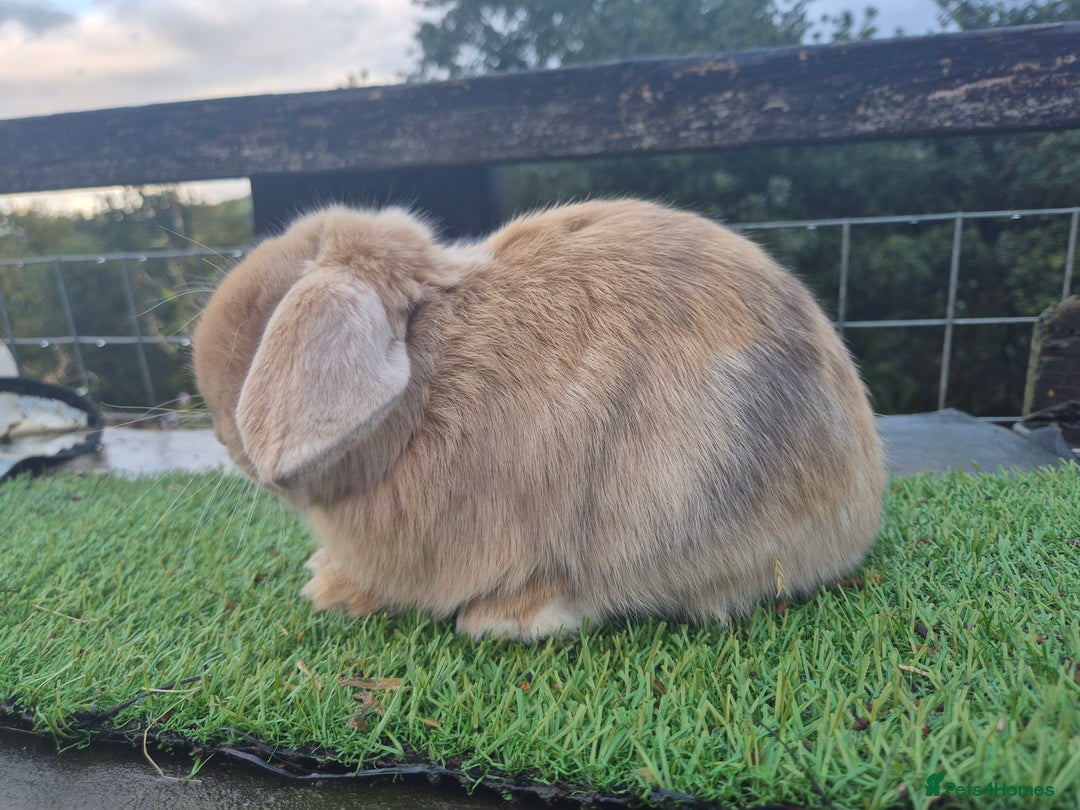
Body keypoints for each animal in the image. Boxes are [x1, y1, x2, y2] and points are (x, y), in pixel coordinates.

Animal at [193, 199, 885, 642]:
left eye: (264, 319)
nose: (225, 439)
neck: (427, 383)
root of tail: (860, 504)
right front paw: (327, 586)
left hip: (671, 501)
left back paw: (504, 618)